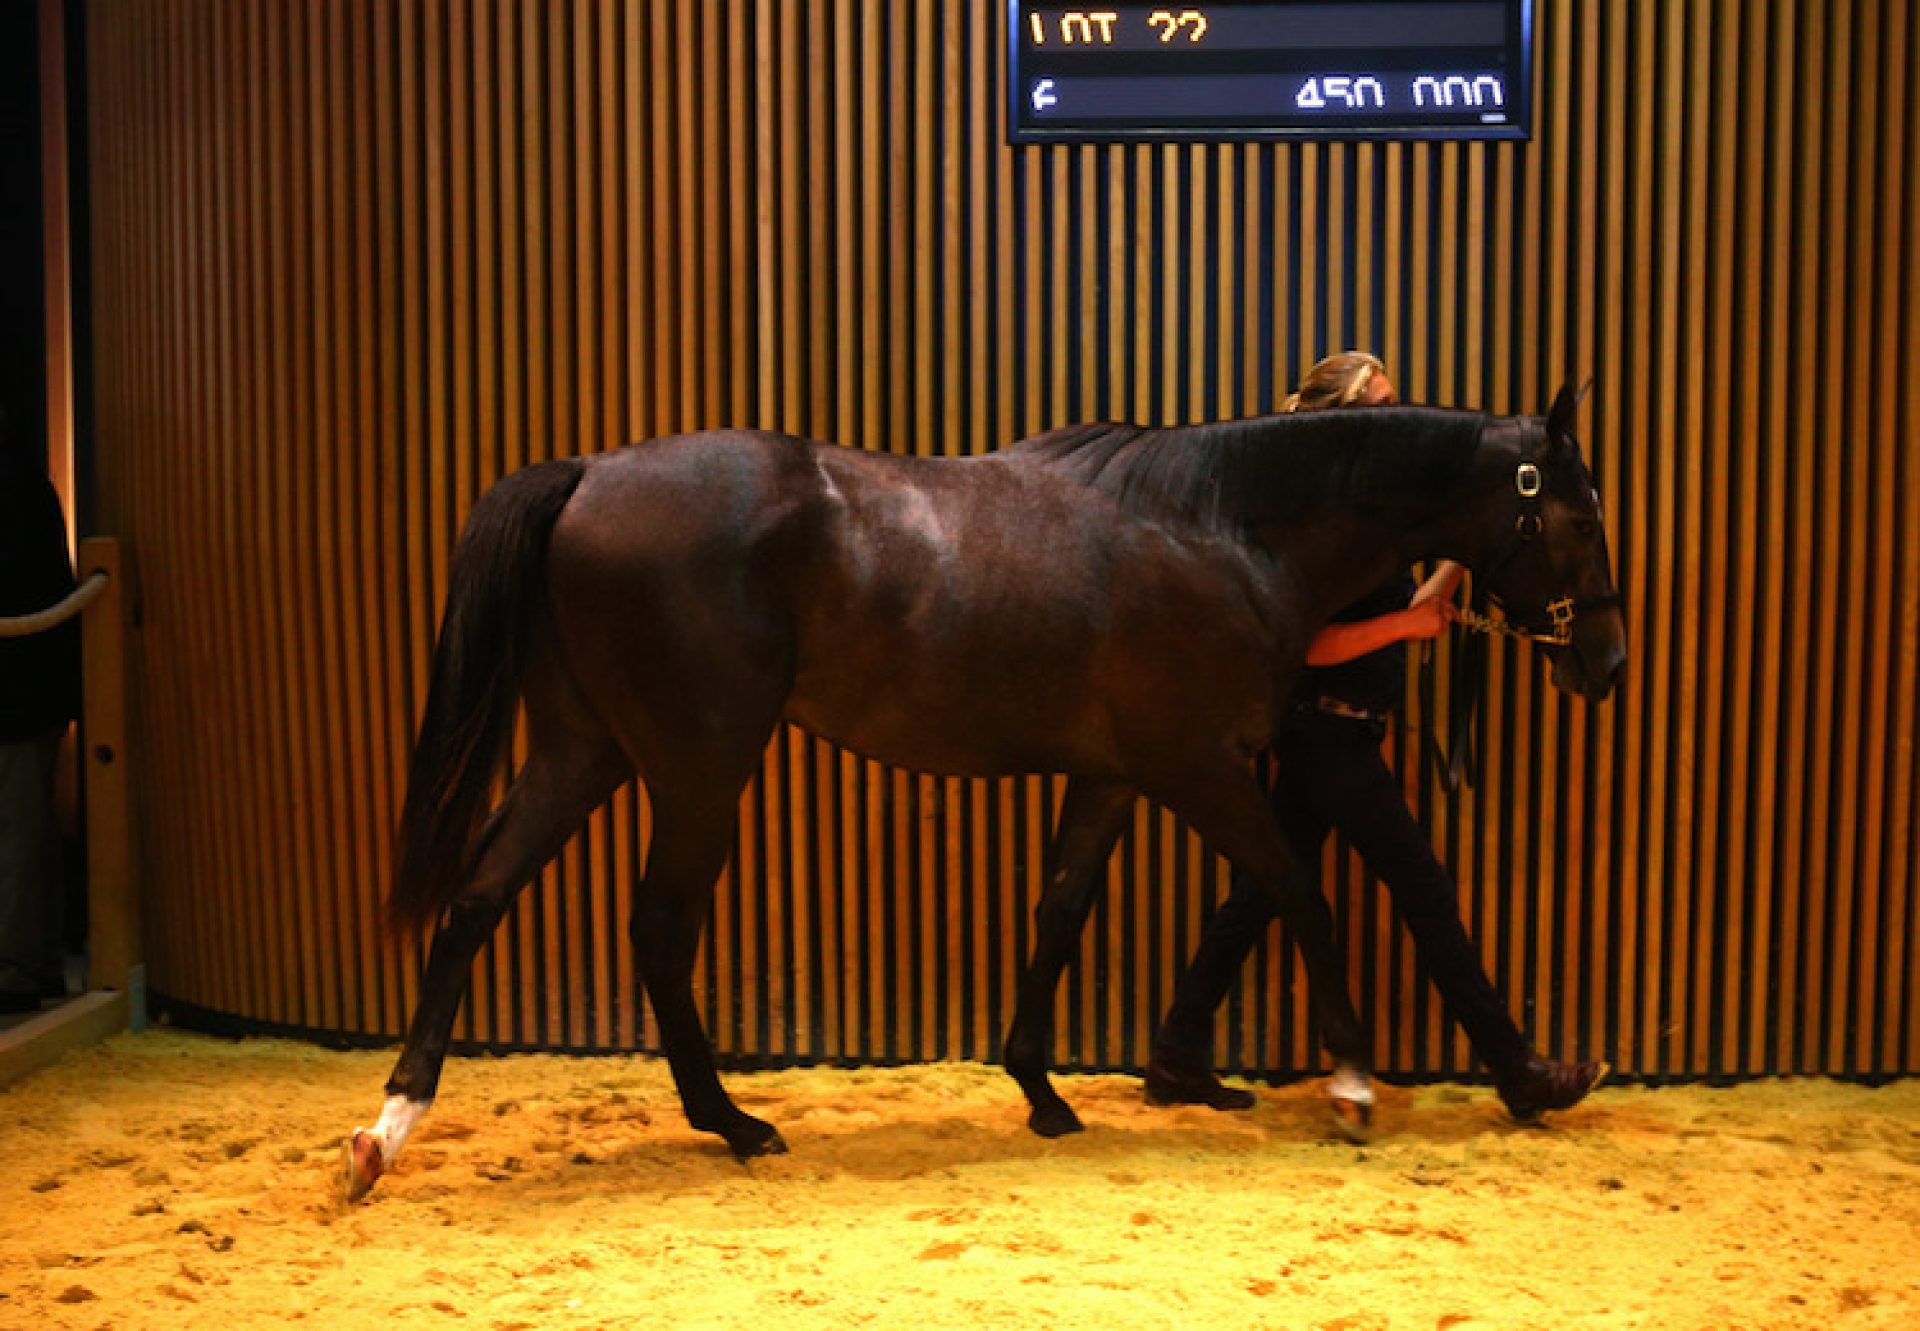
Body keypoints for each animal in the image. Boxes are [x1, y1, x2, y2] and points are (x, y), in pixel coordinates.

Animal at [341, 384, 1620, 1190]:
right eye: (1574, 511)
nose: (1605, 664)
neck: (1219, 526)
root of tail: (588, 473)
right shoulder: (1200, 768)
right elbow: (1301, 891)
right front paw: (1352, 1084)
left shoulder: (1109, 776)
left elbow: (1058, 912)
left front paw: (1043, 1092)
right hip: (699, 765)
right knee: (657, 928)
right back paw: (736, 1123)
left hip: (582, 749)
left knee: (476, 897)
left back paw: (386, 1130)